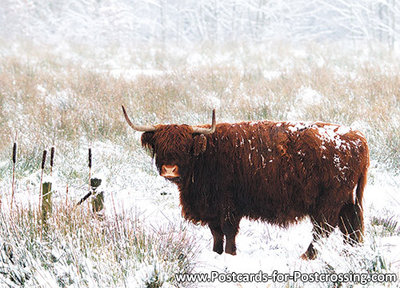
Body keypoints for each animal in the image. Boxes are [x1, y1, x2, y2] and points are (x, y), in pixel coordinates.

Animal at [122, 106, 368, 258]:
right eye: (160, 145)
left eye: (185, 147)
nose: (169, 170)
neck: (206, 155)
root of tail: (358, 137)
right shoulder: (212, 208)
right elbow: (216, 232)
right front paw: (216, 253)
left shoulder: (228, 205)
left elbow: (229, 231)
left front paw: (230, 254)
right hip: (348, 200)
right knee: (351, 228)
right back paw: (351, 254)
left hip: (329, 201)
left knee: (324, 228)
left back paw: (307, 256)